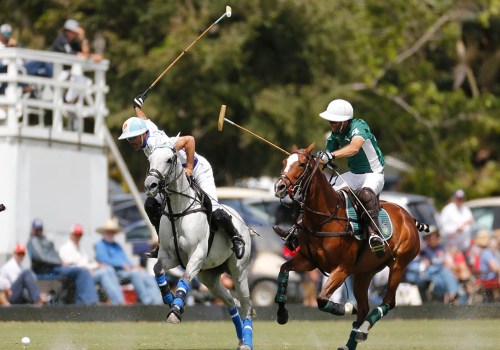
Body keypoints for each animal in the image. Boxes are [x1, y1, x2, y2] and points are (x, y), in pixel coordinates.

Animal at [274, 144, 422, 348]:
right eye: (284, 162)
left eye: (302, 164)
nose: (279, 187)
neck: (324, 219)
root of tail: (408, 217)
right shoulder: (307, 261)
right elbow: (283, 269)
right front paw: (282, 314)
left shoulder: (342, 268)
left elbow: (321, 299)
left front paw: (347, 308)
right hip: (364, 272)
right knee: (365, 307)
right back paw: (350, 342)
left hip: (399, 264)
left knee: (388, 301)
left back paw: (362, 330)